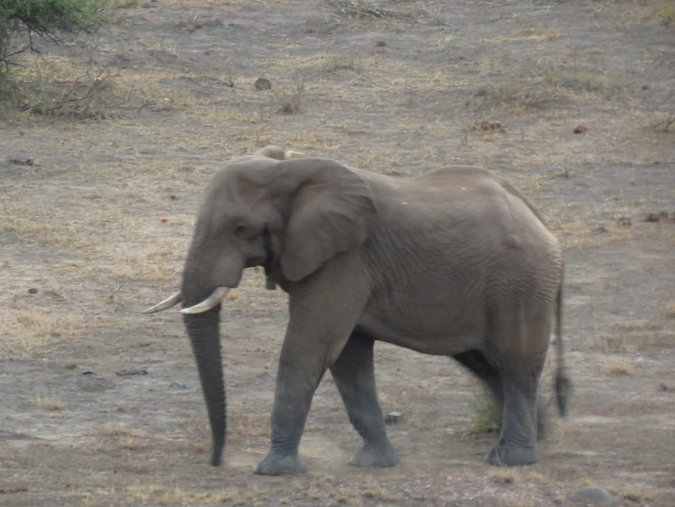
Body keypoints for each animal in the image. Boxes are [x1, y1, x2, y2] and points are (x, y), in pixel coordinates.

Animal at [144, 146, 572, 476]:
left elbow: (310, 348)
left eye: (240, 228)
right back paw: (538, 435)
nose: (217, 461)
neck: (291, 169)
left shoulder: (345, 260)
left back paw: (511, 459)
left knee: (515, 363)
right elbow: (348, 359)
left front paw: (273, 470)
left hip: (520, 282)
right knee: (485, 364)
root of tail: (542, 223)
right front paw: (374, 464)